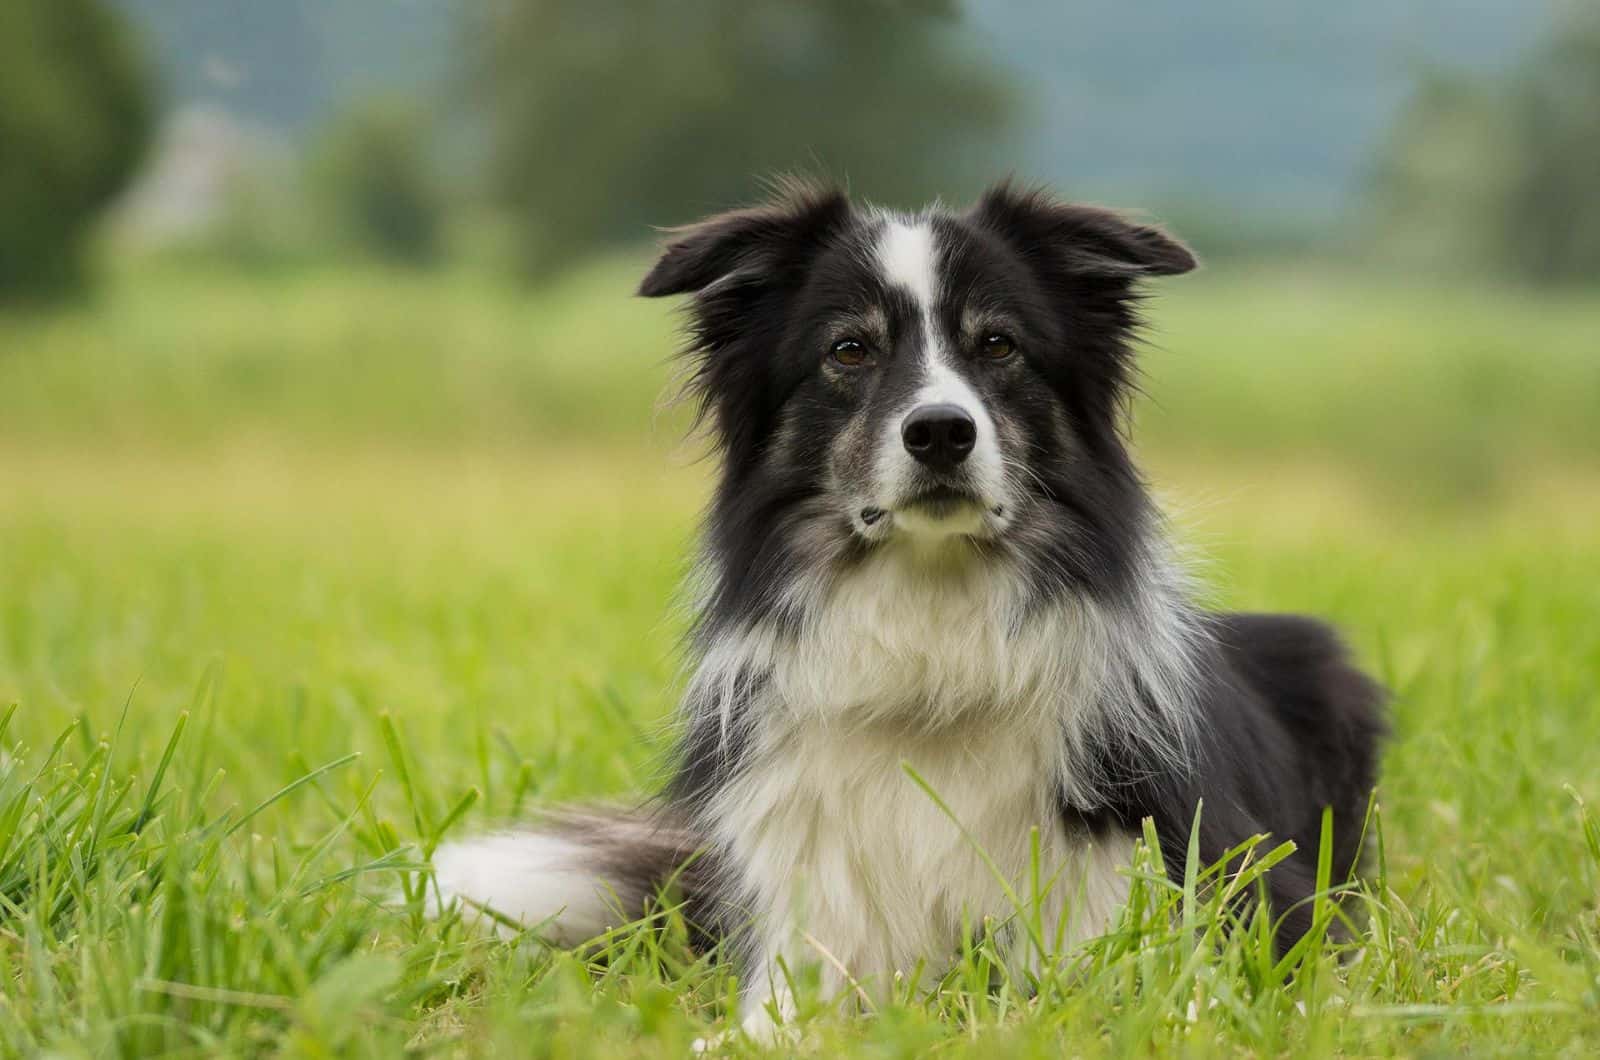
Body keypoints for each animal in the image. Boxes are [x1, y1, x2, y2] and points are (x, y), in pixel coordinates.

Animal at [432, 180, 1382, 1037]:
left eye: (998, 345)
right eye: (850, 350)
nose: (940, 432)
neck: (932, 650)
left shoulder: (1199, 897)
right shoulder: (811, 929)